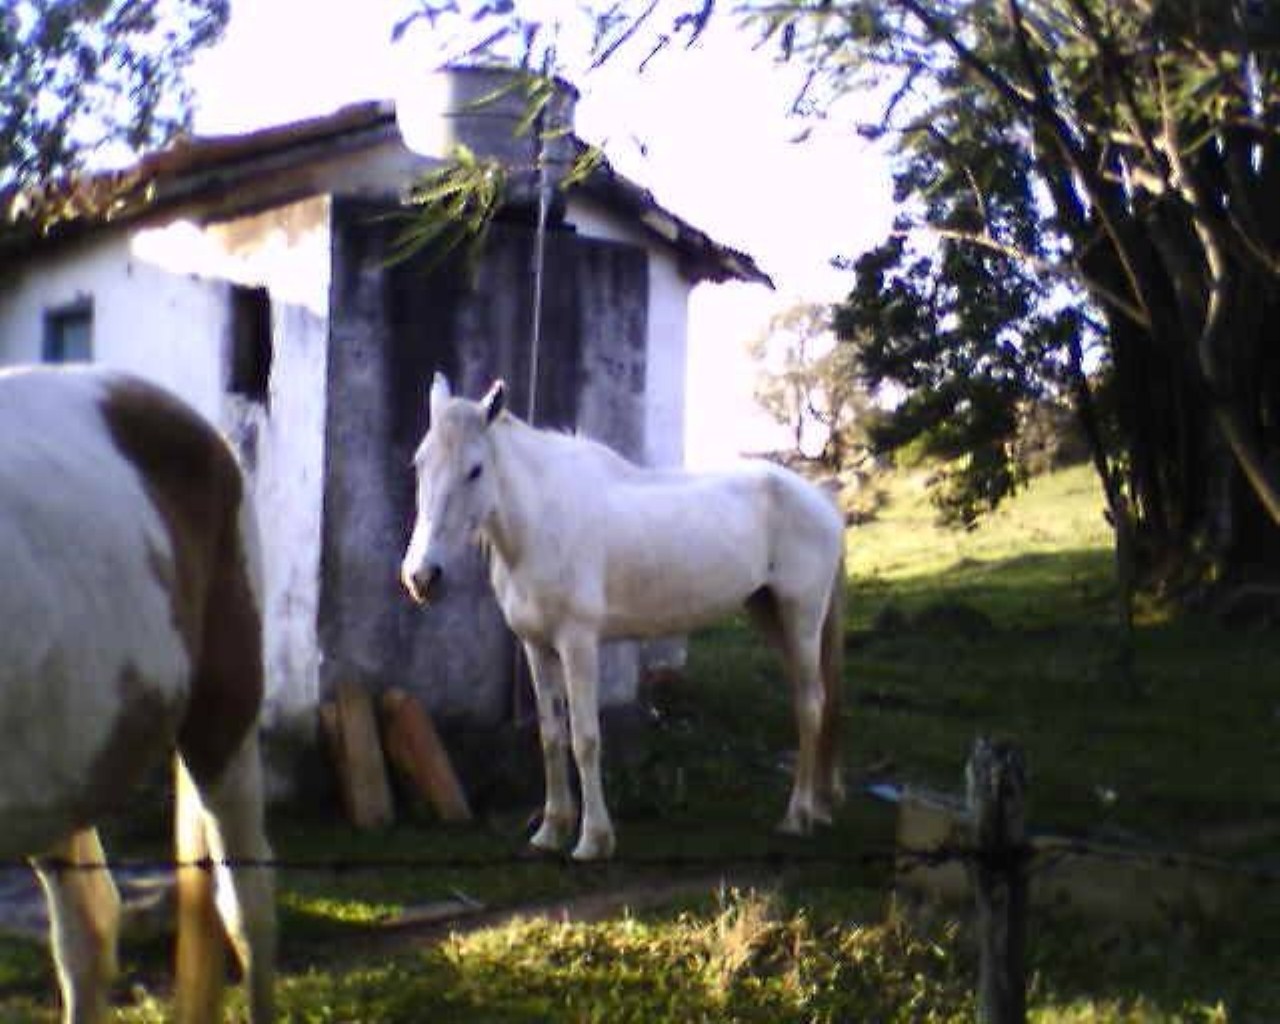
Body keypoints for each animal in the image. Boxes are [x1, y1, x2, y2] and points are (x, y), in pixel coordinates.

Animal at [401, 371, 849, 860]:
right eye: (420, 463)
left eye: (476, 469)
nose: (422, 576)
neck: (543, 522)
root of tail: (821, 498)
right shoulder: (537, 647)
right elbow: (551, 736)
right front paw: (551, 831)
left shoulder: (578, 644)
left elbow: (585, 738)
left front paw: (593, 840)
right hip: (771, 615)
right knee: (814, 702)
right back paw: (818, 808)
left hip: (801, 617)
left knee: (810, 705)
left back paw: (797, 816)